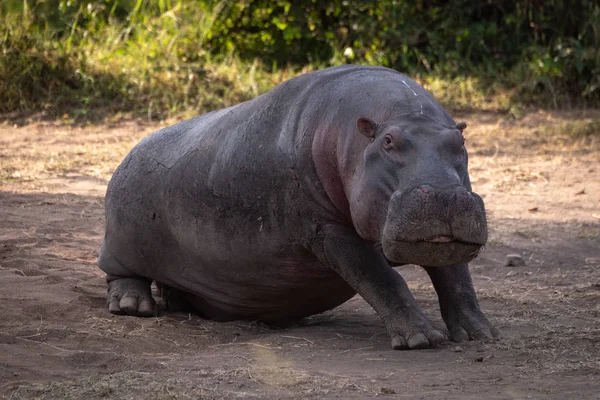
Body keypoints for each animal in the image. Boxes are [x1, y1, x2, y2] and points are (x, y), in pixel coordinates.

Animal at [99, 65, 502, 350]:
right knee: (120, 274)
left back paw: (173, 300)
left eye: (460, 142)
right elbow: (382, 278)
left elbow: (457, 279)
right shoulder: (326, 230)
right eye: (388, 141)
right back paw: (133, 306)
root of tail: (130, 151)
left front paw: (482, 335)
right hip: (121, 241)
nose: (445, 196)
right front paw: (421, 340)